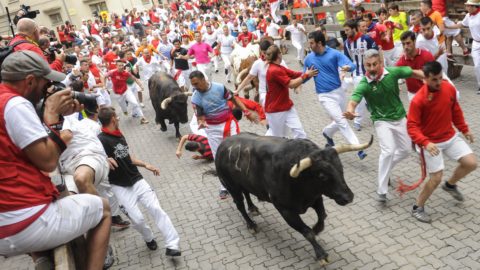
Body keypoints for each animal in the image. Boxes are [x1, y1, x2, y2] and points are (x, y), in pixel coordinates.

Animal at [215, 132, 376, 264]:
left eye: (340, 167)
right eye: (322, 175)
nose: (348, 197)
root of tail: (223, 145)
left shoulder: (316, 197)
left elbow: (322, 216)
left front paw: (317, 229)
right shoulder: (285, 210)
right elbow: (307, 232)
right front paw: (321, 254)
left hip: (244, 183)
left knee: (247, 193)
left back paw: (253, 208)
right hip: (231, 186)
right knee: (240, 205)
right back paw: (251, 225)